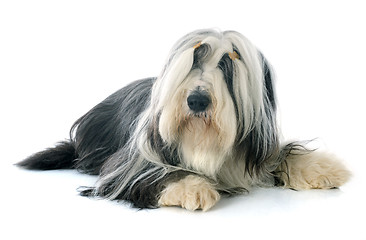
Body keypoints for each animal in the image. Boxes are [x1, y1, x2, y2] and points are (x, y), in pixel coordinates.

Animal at [17, 29, 352, 211]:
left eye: (227, 63)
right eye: (193, 60)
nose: (197, 100)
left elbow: (282, 153)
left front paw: (324, 168)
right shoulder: (128, 166)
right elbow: (159, 173)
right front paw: (192, 186)